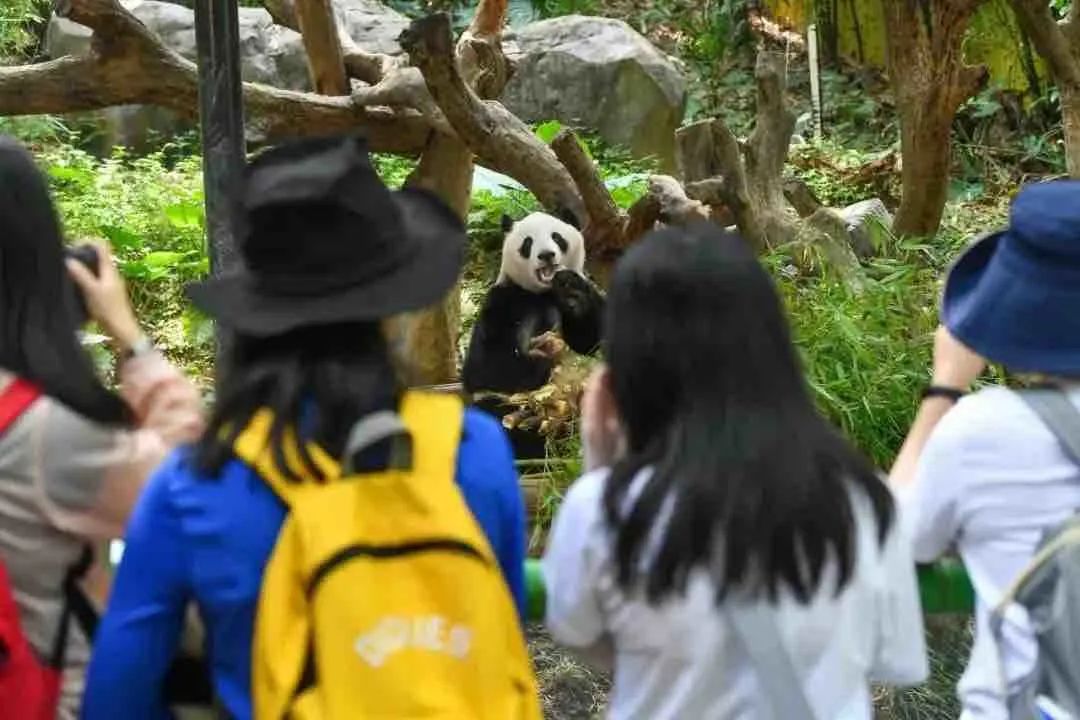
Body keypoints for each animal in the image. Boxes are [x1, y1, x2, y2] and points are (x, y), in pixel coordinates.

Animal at [460, 209, 604, 455]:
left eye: (557, 237)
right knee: (494, 418)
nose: (546, 255)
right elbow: (487, 365)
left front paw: (571, 293)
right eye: (528, 243)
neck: (544, 293)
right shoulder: (506, 301)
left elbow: (591, 342)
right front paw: (543, 363)